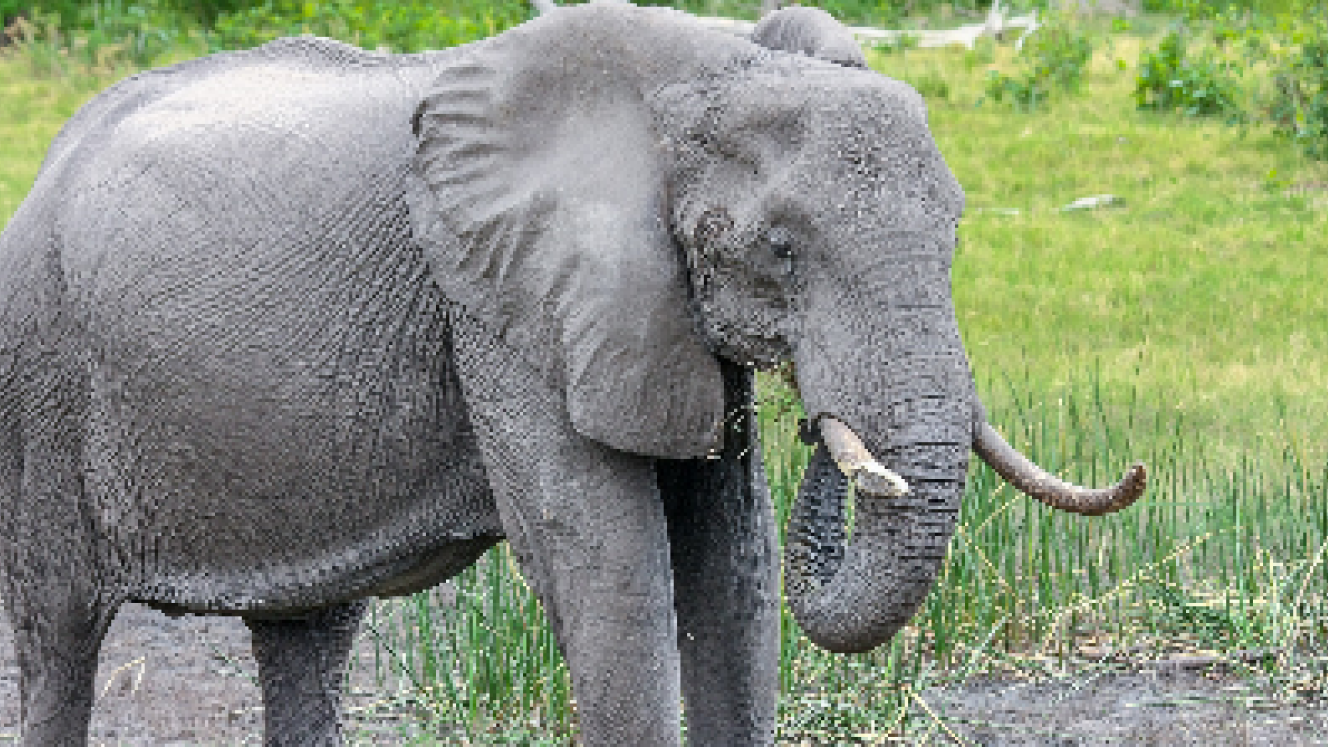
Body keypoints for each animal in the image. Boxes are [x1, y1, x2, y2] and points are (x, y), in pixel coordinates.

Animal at [0, 3, 1146, 745]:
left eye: (954, 229)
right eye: (780, 249)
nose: (821, 425)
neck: (703, 63)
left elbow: (732, 565)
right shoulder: (500, 303)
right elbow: (606, 564)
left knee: (306, 635)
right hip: (42, 378)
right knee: (60, 636)